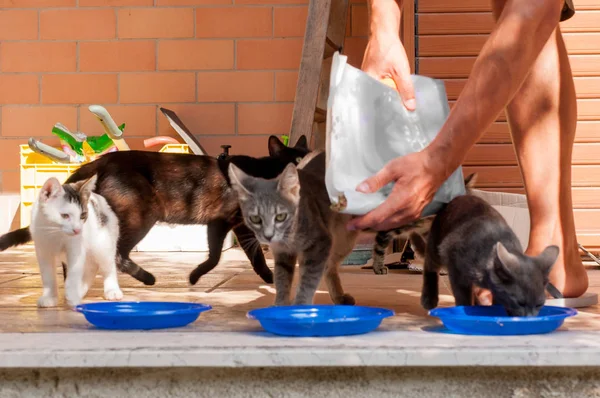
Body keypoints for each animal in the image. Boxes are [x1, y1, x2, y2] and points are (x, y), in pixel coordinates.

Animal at [29, 175, 123, 308]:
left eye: (83, 215)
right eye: (64, 216)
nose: (78, 229)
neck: (55, 232)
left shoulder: (76, 248)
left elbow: (74, 272)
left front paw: (72, 296)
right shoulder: (42, 249)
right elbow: (47, 275)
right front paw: (49, 297)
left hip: (103, 244)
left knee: (107, 266)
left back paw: (112, 290)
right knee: (91, 267)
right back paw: (81, 289)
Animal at [229, 151, 358, 306]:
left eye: (280, 216)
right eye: (255, 218)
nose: (268, 236)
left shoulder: (319, 243)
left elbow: (308, 280)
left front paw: (300, 305)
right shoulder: (282, 253)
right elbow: (282, 279)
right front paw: (280, 304)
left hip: (344, 240)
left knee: (328, 265)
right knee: (329, 266)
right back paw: (339, 297)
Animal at [412, 186, 556, 318]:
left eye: (539, 304)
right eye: (521, 303)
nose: (530, 318)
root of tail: (458, 197)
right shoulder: (456, 269)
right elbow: (462, 296)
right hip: (436, 246)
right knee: (430, 266)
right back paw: (429, 298)